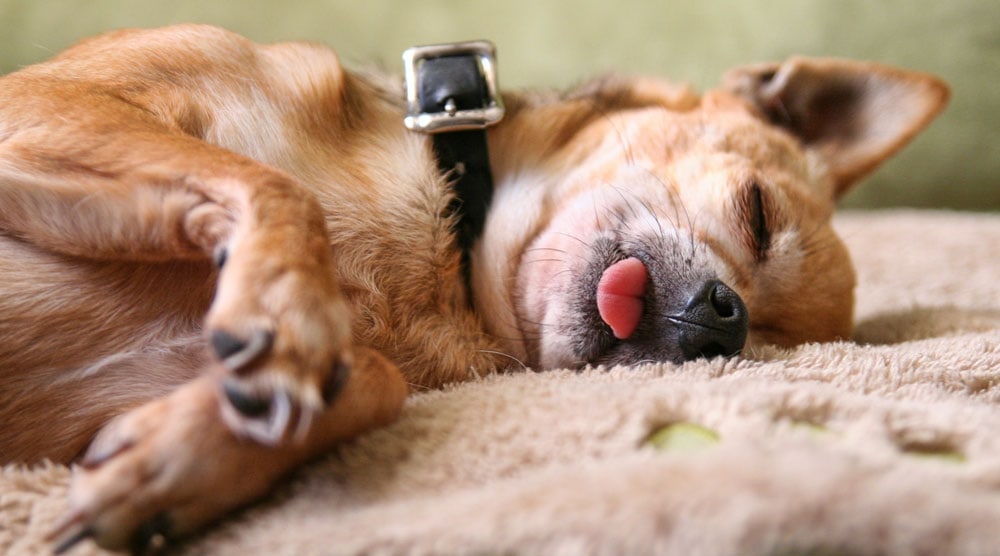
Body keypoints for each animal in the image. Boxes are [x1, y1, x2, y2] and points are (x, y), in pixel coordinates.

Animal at [0, 25, 944, 552]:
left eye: (758, 351)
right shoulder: (35, 106)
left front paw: (179, 461)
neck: (449, 266)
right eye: (755, 213)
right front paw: (286, 308)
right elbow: (277, 187)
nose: (727, 319)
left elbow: (374, 380)